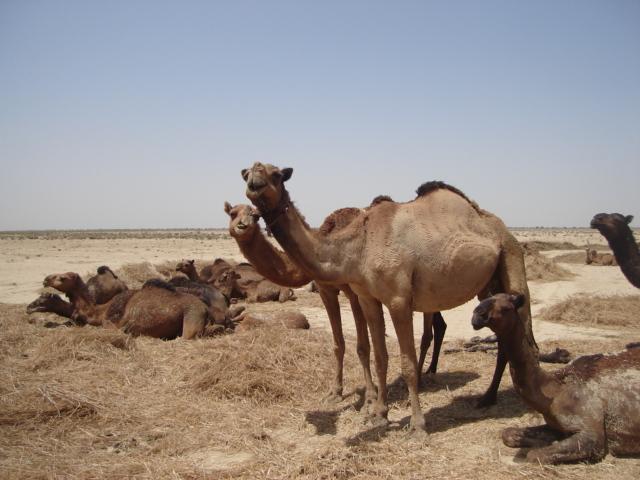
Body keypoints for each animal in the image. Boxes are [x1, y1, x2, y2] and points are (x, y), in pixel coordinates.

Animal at [43, 272, 210, 339]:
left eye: (62, 278)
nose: (45, 280)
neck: (101, 311)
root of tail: (205, 308)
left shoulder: (111, 323)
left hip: (192, 317)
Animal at [224, 202, 447, 403]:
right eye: (233, 213)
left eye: (255, 216)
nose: (242, 226)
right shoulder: (326, 290)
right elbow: (338, 344)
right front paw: (335, 392)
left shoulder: (355, 292)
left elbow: (362, 347)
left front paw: (370, 397)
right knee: (438, 325)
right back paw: (429, 371)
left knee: (427, 333)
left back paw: (420, 380)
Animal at [472, 293, 640, 464]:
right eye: (485, 299)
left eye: (506, 308)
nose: (477, 315)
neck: (555, 390)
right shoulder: (555, 423)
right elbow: (508, 433)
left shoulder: (593, 430)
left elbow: (533, 455)